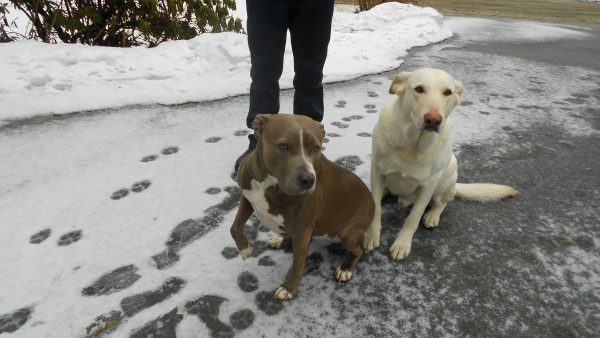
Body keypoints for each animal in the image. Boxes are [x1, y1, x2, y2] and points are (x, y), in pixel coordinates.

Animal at [231, 114, 376, 302]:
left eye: (316, 148)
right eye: (283, 146)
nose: (308, 180)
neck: (270, 183)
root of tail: (372, 199)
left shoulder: (303, 228)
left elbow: (298, 263)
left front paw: (289, 288)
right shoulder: (247, 198)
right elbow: (235, 227)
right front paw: (245, 249)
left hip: (347, 233)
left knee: (359, 250)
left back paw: (345, 268)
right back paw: (280, 239)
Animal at [364, 67, 516, 260]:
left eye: (447, 92)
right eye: (419, 89)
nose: (433, 119)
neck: (412, 144)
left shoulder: (429, 185)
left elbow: (413, 217)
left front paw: (402, 244)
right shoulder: (377, 170)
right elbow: (375, 208)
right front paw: (371, 235)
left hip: (449, 173)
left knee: (442, 202)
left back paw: (432, 216)